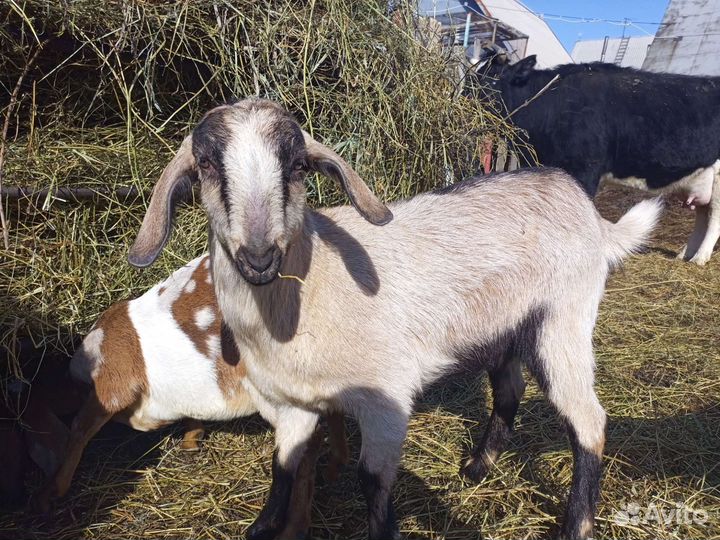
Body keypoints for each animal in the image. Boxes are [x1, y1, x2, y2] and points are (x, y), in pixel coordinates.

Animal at [35, 254, 348, 539]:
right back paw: (330, 477)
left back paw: (290, 529)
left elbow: (79, 428)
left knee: (305, 442)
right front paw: (191, 439)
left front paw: (51, 493)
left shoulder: (112, 382)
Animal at [127, 98, 662, 540]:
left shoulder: (385, 396)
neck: (308, 289)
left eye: (298, 166)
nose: (259, 258)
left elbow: (372, 481)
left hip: (564, 320)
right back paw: (476, 469)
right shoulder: (294, 403)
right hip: (503, 328)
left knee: (587, 420)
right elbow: (283, 465)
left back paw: (576, 525)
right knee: (510, 390)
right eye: (206, 165)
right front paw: (262, 526)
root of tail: (593, 216)